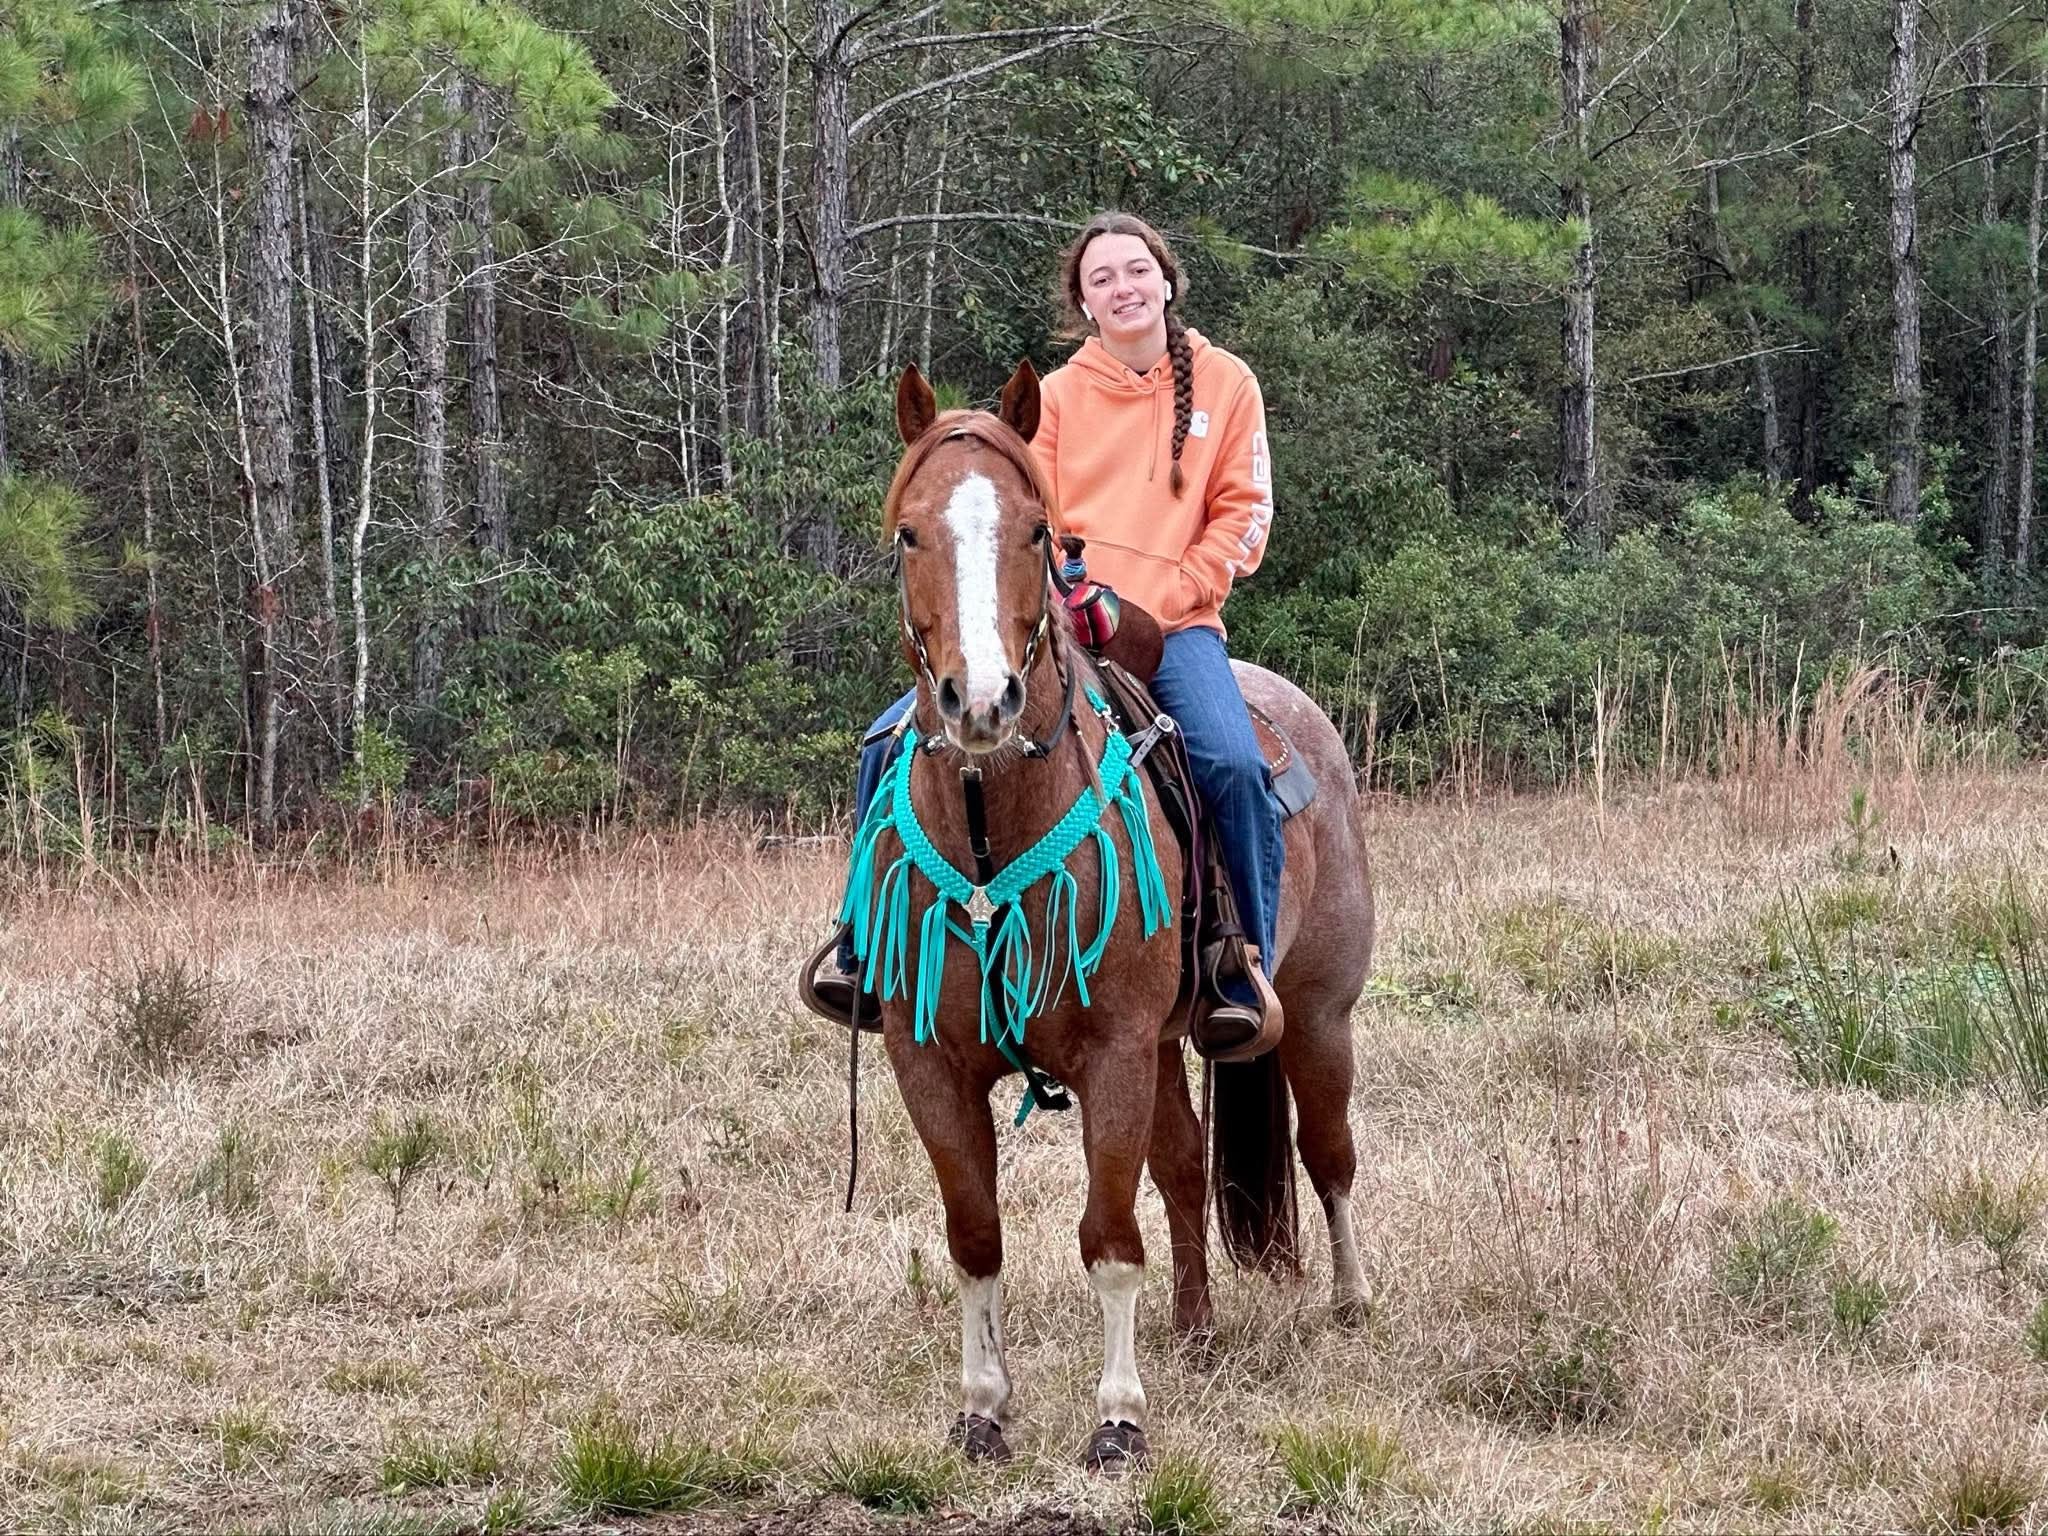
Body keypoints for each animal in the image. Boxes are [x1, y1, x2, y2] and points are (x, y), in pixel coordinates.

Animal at [851, 354, 1376, 1474]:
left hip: (1316, 1017)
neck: (988, 829)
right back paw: (1197, 1329)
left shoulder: (1115, 1053)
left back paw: (1351, 1302)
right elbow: (976, 1235)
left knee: (1327, 1154)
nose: (981, 703)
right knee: (1184, 1167)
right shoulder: (930, 1063)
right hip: (1180, 1043)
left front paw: (1118, 1417)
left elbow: (1107, 1238)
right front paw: (983, 1409)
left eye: (1036, 532)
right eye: (910, 532)